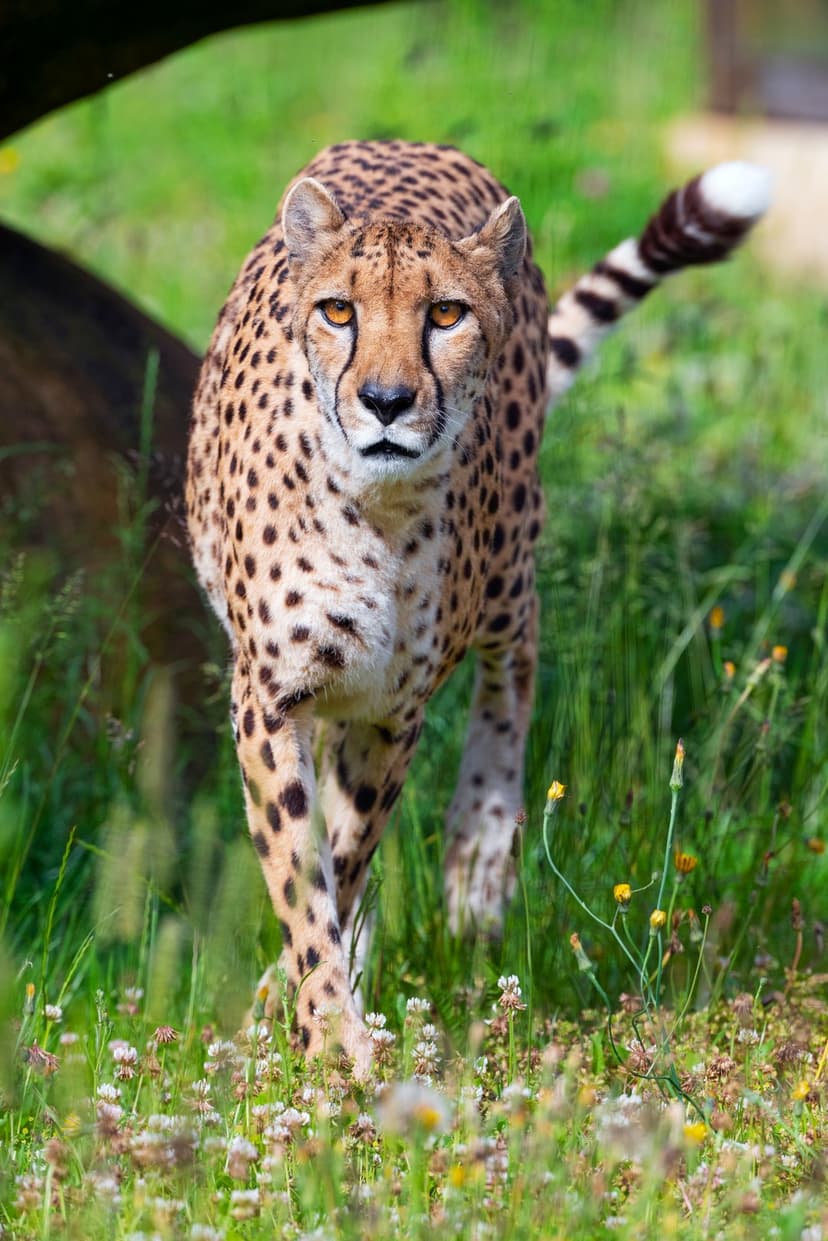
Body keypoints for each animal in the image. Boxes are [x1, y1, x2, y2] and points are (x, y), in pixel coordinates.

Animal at [186, 139, 769, 1074]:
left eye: (446, 314)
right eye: (339, 311)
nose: (386, 402)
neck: (377, 509)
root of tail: (413, 142)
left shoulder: (394, 710)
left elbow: (342, 857)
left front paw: (313, 1022)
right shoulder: (274, 699)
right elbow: (303, 874)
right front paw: (327, 1030)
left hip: (509, 558)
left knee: (516, 664)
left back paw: (480, 859)